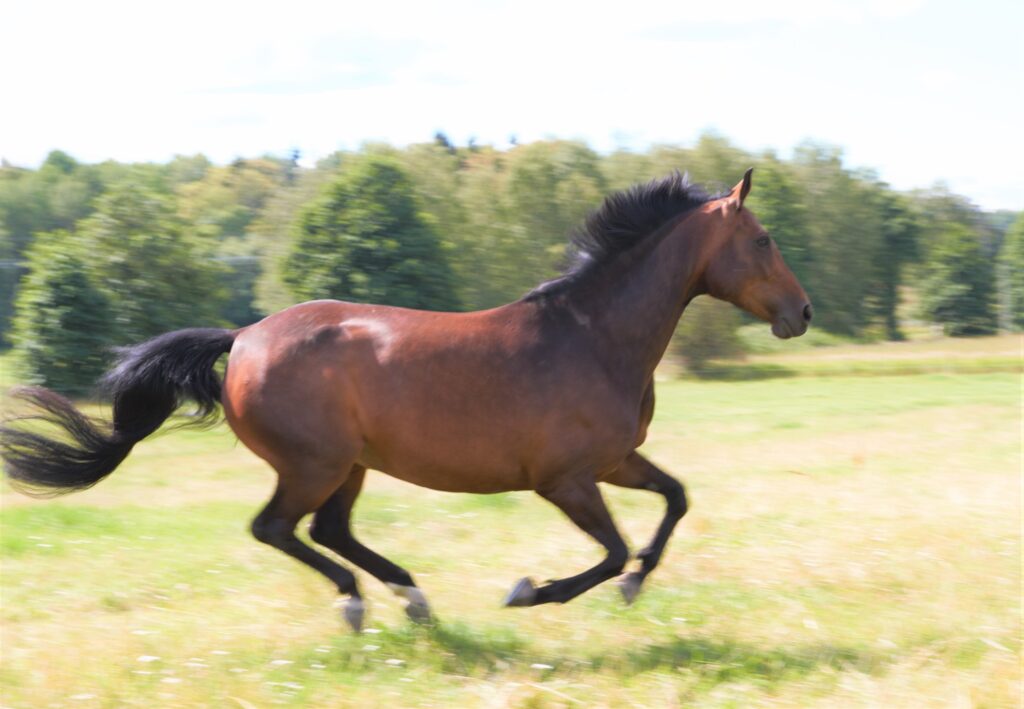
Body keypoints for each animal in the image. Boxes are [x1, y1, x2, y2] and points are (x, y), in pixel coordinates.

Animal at [2, 168, 815, 631]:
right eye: (765, 239)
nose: (802, 313)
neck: (593, 335)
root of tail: (243, 337)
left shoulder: (616, 462)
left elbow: (676, 499)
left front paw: (637, 585)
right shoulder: (567, 480)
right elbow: (610, 550)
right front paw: (530, 592)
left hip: (348, 466)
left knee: (325, 530)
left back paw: (411, 598)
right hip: (314, 463)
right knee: (278, 528)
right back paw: (360, 602)